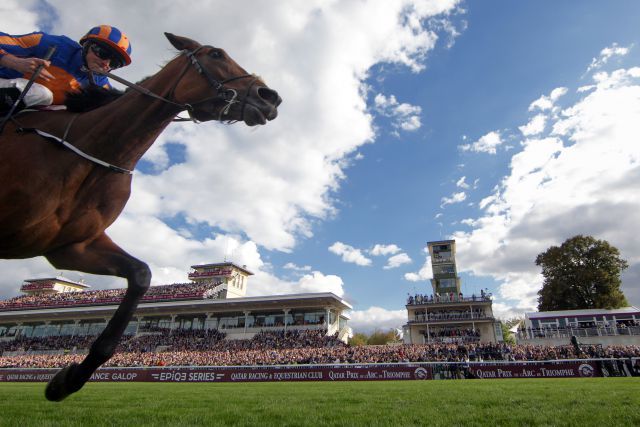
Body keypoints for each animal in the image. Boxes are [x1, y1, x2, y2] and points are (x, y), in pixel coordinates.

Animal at [0, 32, 282, 402]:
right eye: (215, 53)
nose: (270, 97)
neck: (87, 148)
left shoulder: (71, 246)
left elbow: (141, 276)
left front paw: (67, 379)